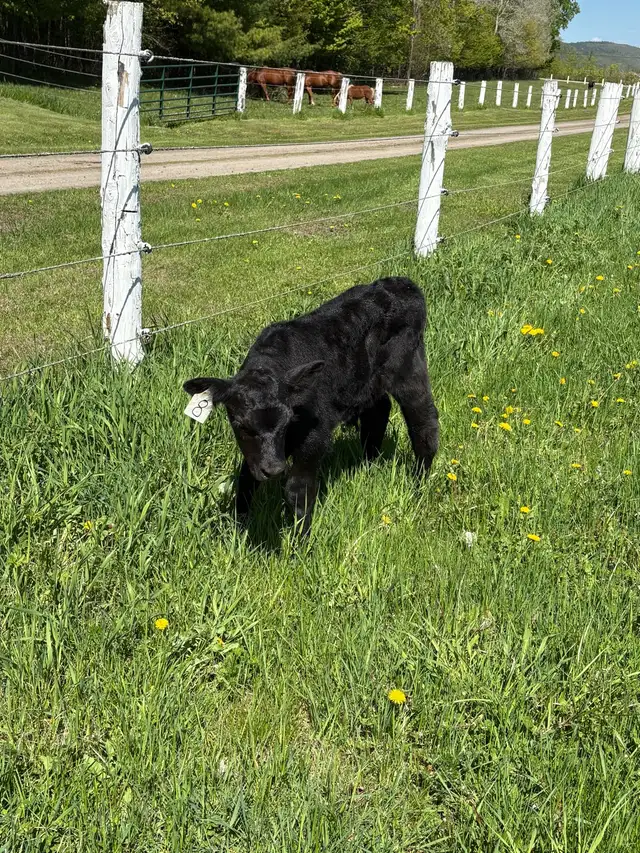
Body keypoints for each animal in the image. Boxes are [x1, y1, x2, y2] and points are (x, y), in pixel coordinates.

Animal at [183, 277, 439, 536]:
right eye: (241, 426)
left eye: (286, 422)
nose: (274, 470)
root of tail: (399, 283)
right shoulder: (257, 452)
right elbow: (246, 478)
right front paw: (239, 528)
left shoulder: (316, 432)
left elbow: (298, 489)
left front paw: (300, 540)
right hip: (366, 381)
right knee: (378, 411)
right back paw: (369, 464)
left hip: (408, 367)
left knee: (423, 420)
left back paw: (419, 485)